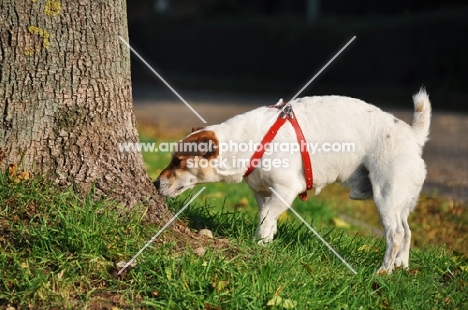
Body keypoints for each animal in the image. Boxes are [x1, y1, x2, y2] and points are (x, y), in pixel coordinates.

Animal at [156, 88, 432, 272]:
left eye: (178, 161)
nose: (156, 183)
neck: (250, 142)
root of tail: (412, 135)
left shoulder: (286, 189)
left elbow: (266, 216)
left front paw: (259, 244)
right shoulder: (262, 192)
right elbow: (266, 216)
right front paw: (268, 240)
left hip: (385, 197)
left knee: (396, 234)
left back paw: (384, 271)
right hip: (399, 202)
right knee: (407, 231)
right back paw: (402, 265)